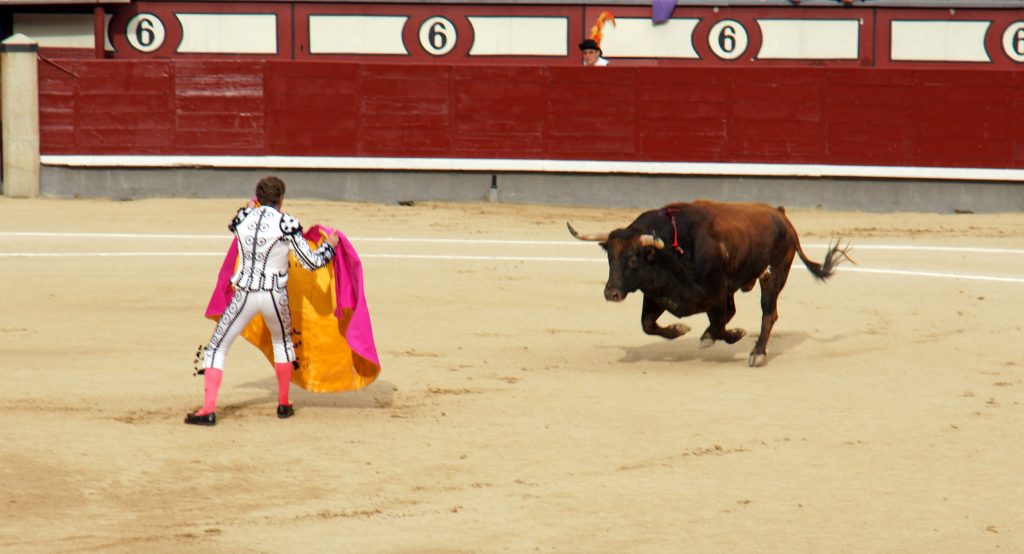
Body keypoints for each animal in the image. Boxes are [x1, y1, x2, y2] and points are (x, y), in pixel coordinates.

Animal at [569, 200, 847, 364]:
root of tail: (782, 216)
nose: (611, 293)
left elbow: (717, 323)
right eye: (610, 256)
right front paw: (679, 330)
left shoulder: (716, 294)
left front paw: (724, 336)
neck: (673, 253)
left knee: (768, 313)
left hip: (773, 274)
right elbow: (647, 324)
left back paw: (757, 353)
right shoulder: (657, 295)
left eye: (634, 258)